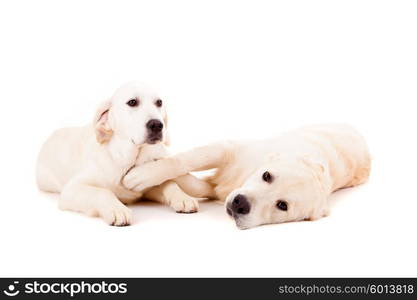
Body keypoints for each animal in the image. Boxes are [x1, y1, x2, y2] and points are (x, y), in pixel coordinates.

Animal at [36, 81, 213, 225]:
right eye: (132, 102)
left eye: (159, 102)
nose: (157, 125)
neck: (126, 159)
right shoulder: (72, 189)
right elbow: (102, 192)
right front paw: (116, 209)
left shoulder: (146, 188)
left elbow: (168, 183)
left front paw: (183, 197)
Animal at [122, 124, 370, 230]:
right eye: (267, 176)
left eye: (282, 205)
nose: (240, 204)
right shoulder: (228, 150)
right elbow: (184, 161)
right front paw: (145, 173)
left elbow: (200, 185)